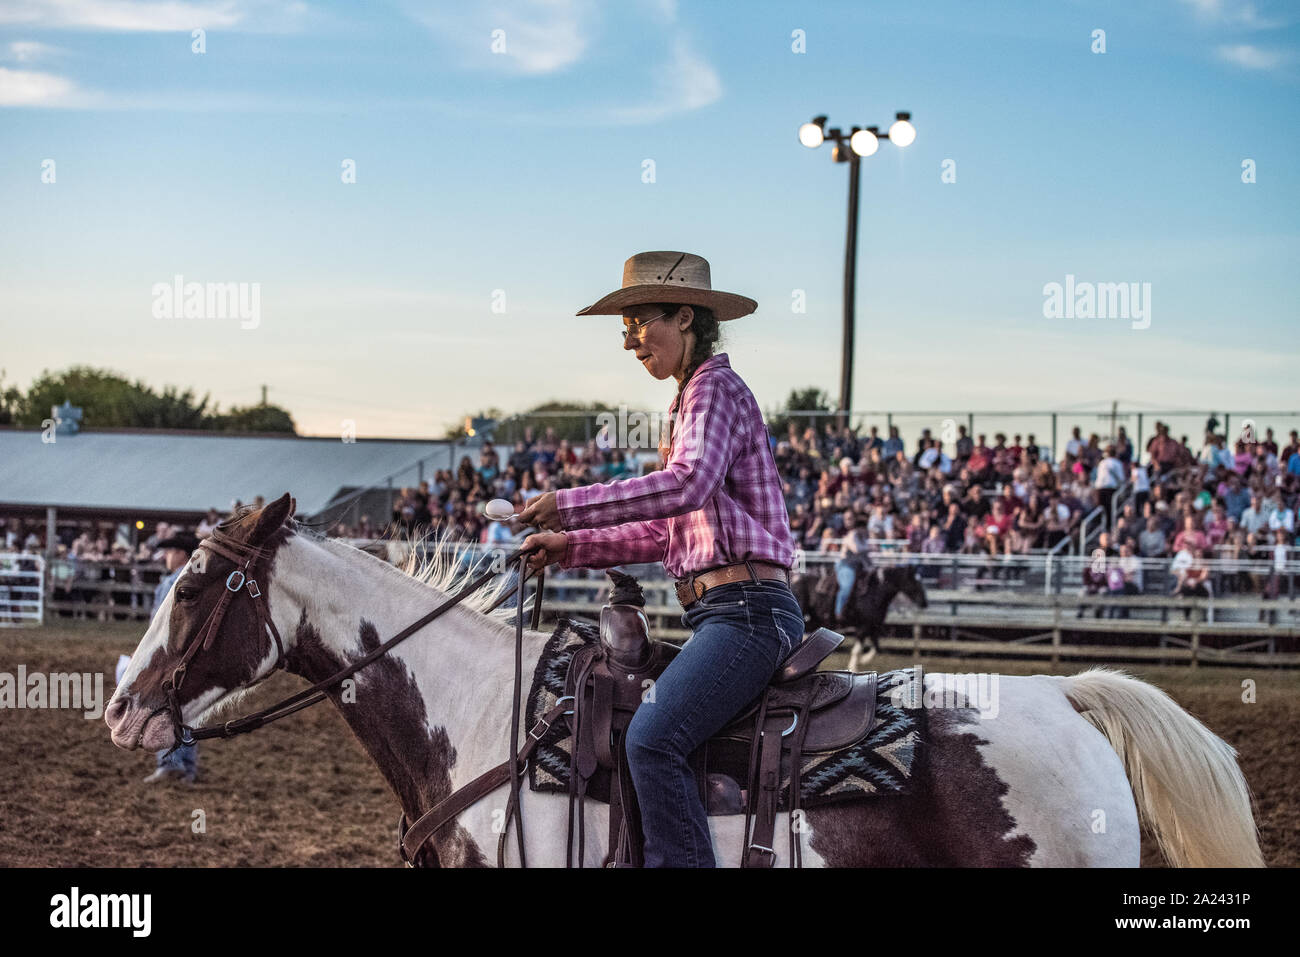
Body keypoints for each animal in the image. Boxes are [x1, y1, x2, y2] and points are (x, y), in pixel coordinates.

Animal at [790, 556, 925, 670]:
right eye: (914, 581)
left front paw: (863, 660)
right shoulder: (863, 626)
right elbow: (858, 649)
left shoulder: (873, 625)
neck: (876, 591)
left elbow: (876, 647)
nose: (924, 602)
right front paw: (854, 667)